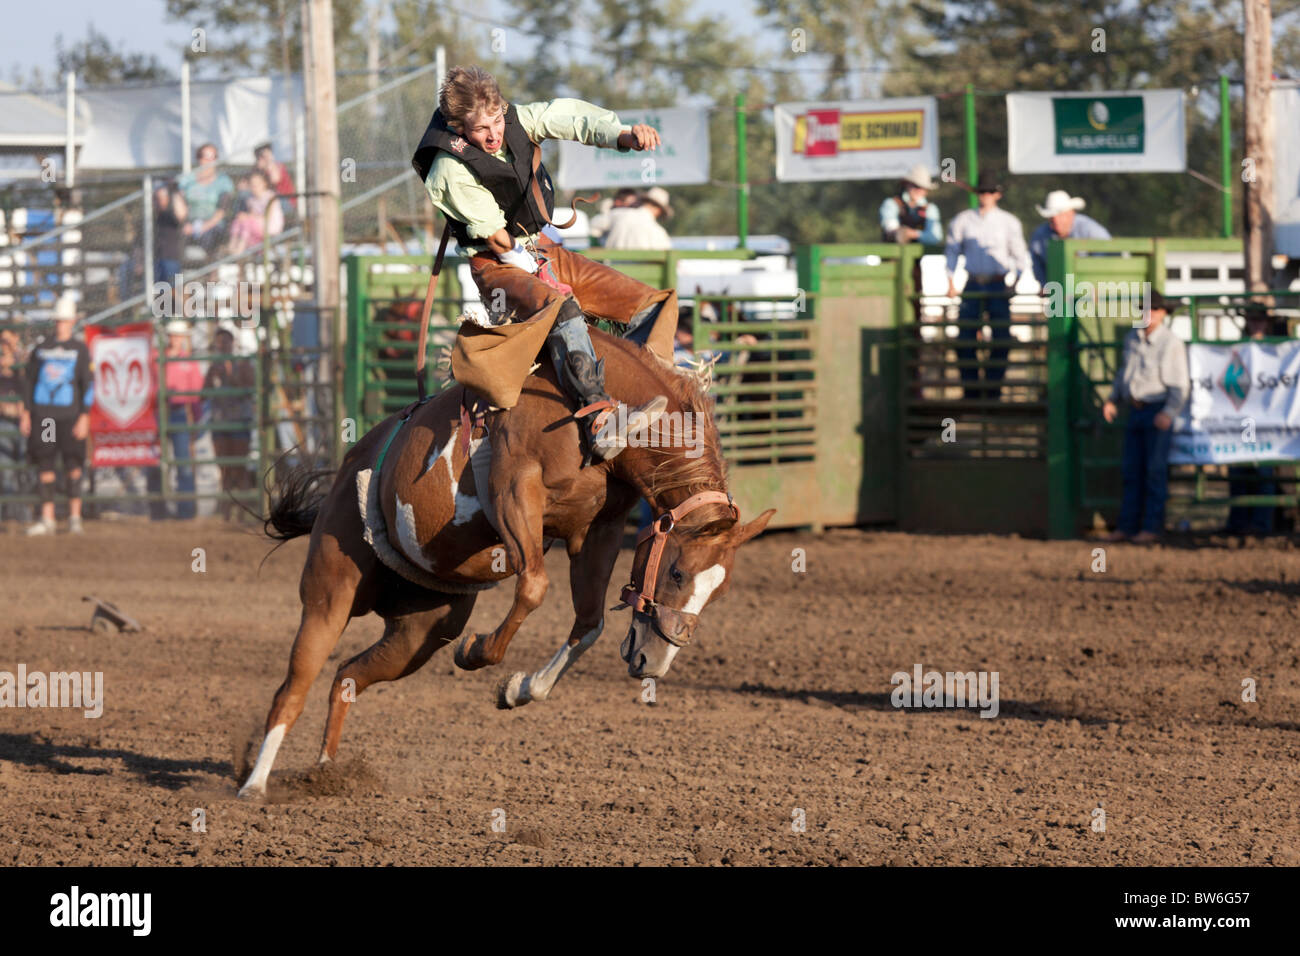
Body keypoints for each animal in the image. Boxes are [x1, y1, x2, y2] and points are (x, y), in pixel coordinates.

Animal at [236, 329, 769, 801]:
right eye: (677, 573)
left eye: (718, 593)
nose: (652, 663)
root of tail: (350, 466)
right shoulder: (514, 490)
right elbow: (533, 587)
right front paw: (478, 652)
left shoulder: (597, 529)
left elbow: (589, 622)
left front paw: (518, 688)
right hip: (331, 592)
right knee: (293, 688)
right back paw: (254, 784)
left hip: (420, 632)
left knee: (347, 676)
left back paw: (326, 770)